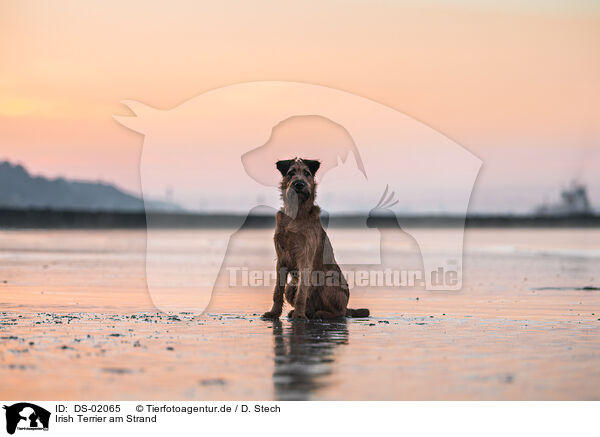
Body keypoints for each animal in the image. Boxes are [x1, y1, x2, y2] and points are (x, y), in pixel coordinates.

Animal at [264, 158, 370, 320]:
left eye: (307, 173)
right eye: (291, 173)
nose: (299, 184)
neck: (296, 213)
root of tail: (347, 308)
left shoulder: (305, 258)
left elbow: (302, 294)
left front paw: (299, 316)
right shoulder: (281, 259)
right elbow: (277, 291)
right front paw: (274, 313)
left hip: (329, 280)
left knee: (338, 313)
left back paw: (317, 314)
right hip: (291, 286)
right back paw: (302, 312)